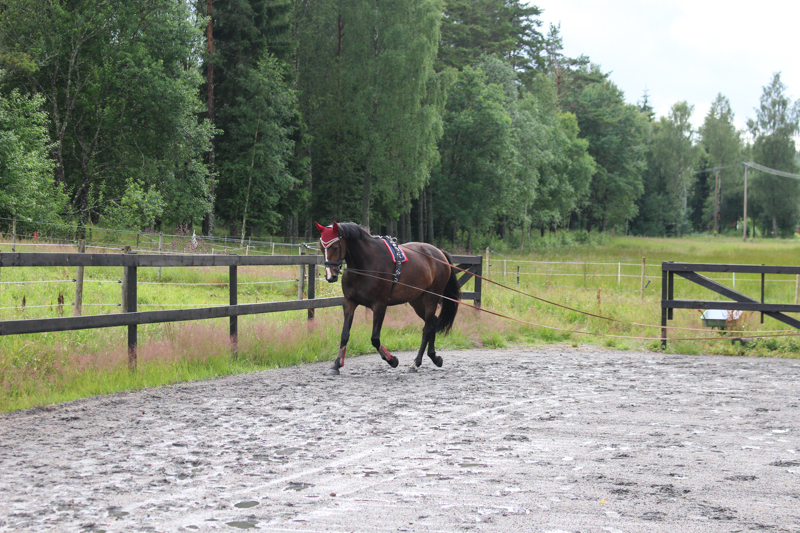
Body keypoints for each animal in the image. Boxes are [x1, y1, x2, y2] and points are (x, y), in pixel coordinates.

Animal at [315, 221, 461, 375]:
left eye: (335, 247)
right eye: (321, 247)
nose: (330, 276)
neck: (364, 265)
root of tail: (439, 253)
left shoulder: (379, 306)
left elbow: (374, 338)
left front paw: (392, 360)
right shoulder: (349, 303)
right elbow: (344, 335)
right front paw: (336, 365)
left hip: (431, 297)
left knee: (427, 328)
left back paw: (416, 363)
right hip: (416, 300)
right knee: (433, 321)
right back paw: (434, 357)